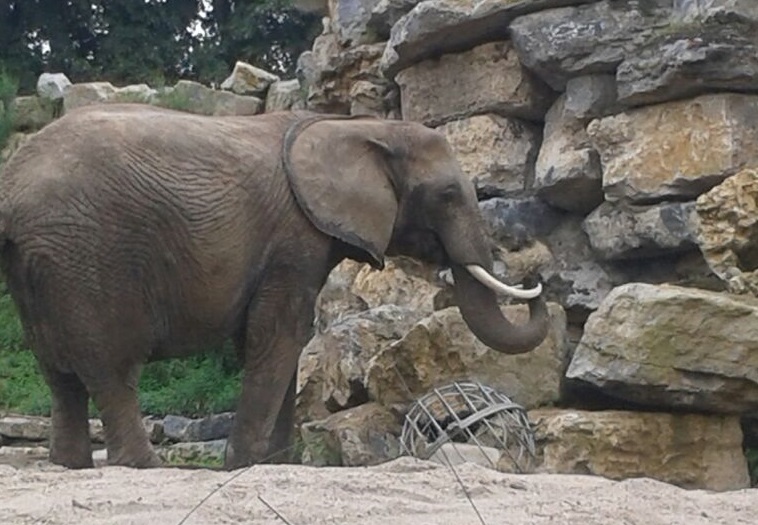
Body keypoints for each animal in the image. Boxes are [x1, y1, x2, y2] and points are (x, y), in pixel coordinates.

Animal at [0, 104, 549, 470]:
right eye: (449, 194)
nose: (537, 277)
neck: (357, 126)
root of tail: (12, 189)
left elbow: (284, 340)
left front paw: (280, 465)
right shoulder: (294, 237)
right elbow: (276, 335)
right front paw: (245, 466)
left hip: (42, 266)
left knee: (59, 373)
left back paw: (71, 466)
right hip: (88, 257)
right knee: (111, 370)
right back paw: (145, 467)